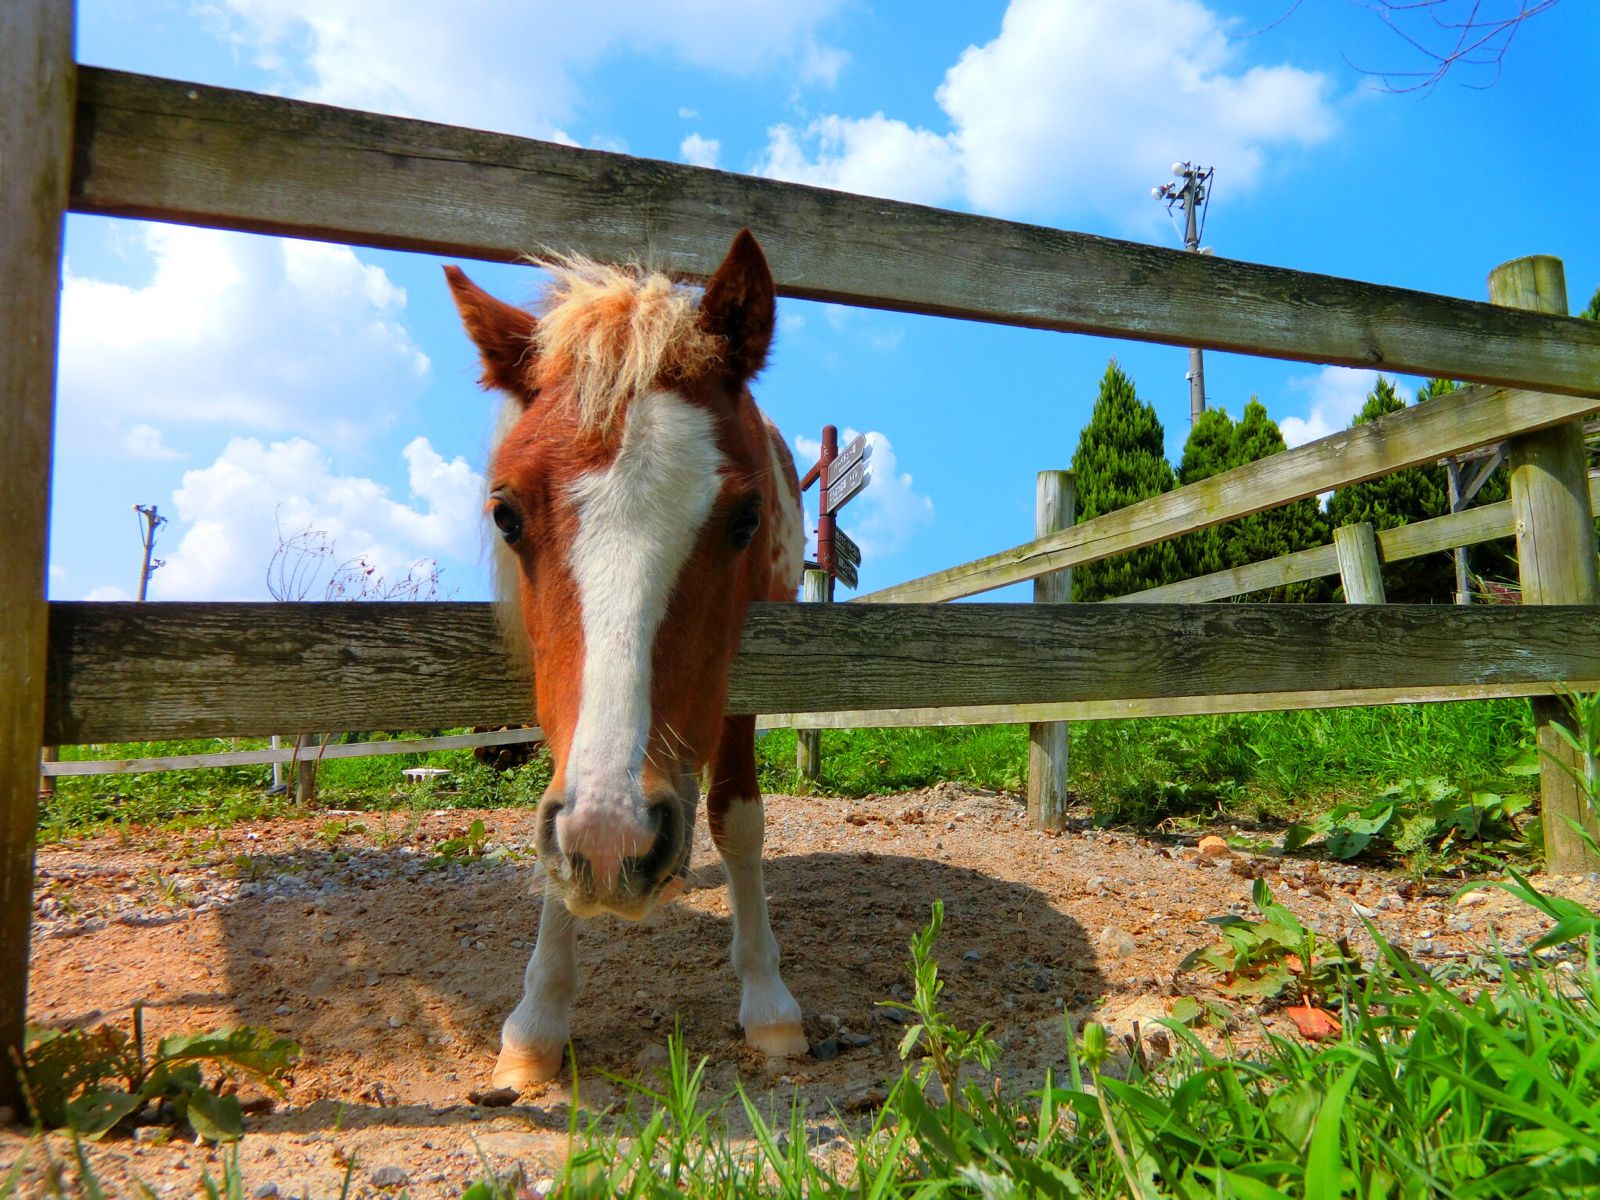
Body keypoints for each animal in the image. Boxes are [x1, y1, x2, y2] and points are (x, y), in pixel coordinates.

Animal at [444, 227, 806, 1088]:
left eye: (747, 519)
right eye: (505, 515)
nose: (616, 839)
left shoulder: (742, 681)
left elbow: (740, 821)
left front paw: (768, 1001)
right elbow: (553, 827)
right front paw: (536, 1022)